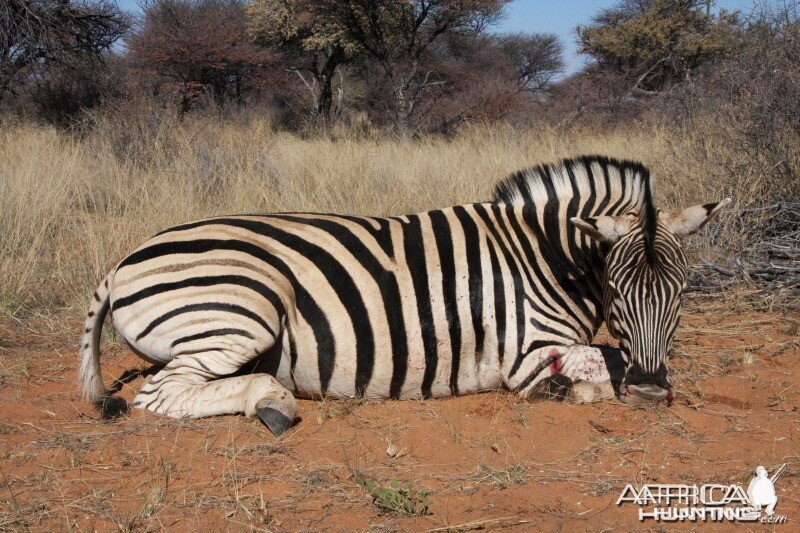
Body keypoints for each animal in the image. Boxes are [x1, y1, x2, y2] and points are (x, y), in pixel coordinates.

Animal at [78, 154, 728, 432]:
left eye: (682, 292)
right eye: (616, 288)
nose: (651, 390)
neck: (544, 255)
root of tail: (123, 261)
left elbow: (611, 359)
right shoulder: (526, 353)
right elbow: (595, 372)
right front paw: (576, 389)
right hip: (243, 309)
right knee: (162, 394)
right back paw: (272, 400)